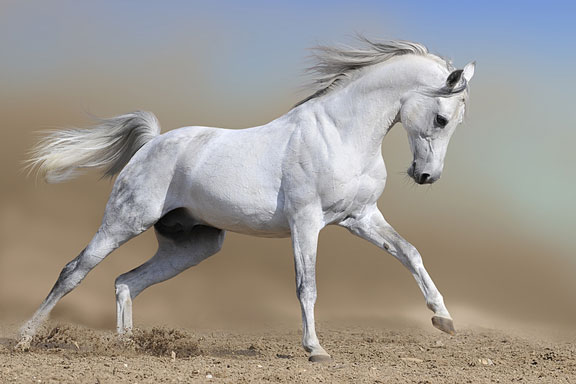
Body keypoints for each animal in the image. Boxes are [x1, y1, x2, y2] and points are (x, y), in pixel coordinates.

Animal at [20, 37, 474, 362]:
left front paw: (444, 319)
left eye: (456, 122)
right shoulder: (306, 222)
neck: (340, 134)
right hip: (123, 221)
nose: (426, 176)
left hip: (193, 245)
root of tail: (152, 143)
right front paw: (315, 350)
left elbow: (410, 253)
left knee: (126, 282)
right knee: (74, 271)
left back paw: (127, 347)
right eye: (441, 119)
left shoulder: (360, 217)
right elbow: (307, 285)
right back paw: (25, 338)